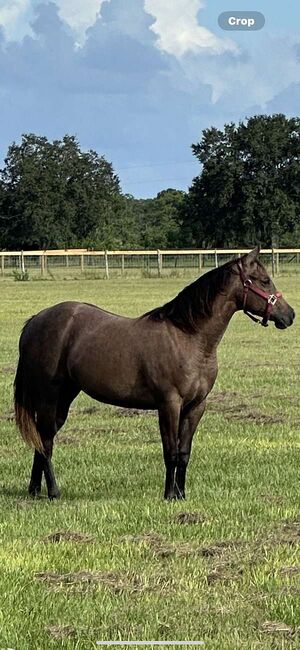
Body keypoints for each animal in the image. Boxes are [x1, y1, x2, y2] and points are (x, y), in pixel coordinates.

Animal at [14, 246, 296, 498]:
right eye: (264, 280)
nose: (290, 315)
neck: (188, 338)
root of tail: (36, 320)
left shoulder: (196, 406)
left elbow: (184, 453)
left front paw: (181, 495)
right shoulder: (169, 404)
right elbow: (170, 452)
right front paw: (169, 495)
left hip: (65, 397)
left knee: (43, 440)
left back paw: (35, 490)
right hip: (49, 396)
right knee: (46, 442)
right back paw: (53, 492)